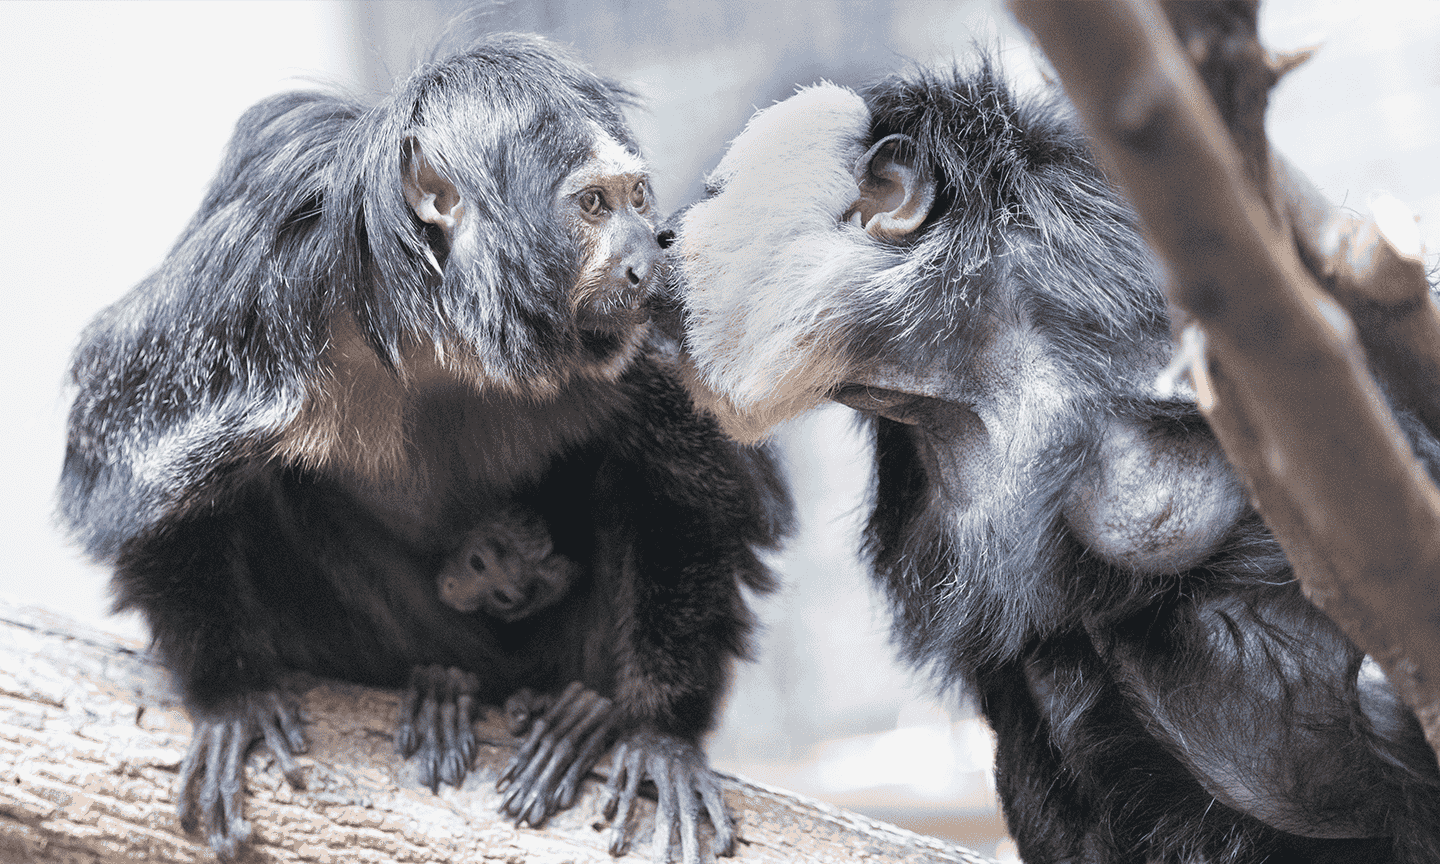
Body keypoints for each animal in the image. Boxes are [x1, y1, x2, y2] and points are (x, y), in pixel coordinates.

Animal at [58, 34, 789, 864]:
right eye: (593, 206)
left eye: (637, 199)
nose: (650, 258)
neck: (441, 330)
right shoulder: (251, 288)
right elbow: (131, 468)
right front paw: (229, 693)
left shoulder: (652, 335)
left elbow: (697, 490)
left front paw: (654, 728)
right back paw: (440, 688)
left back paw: (578, 717)